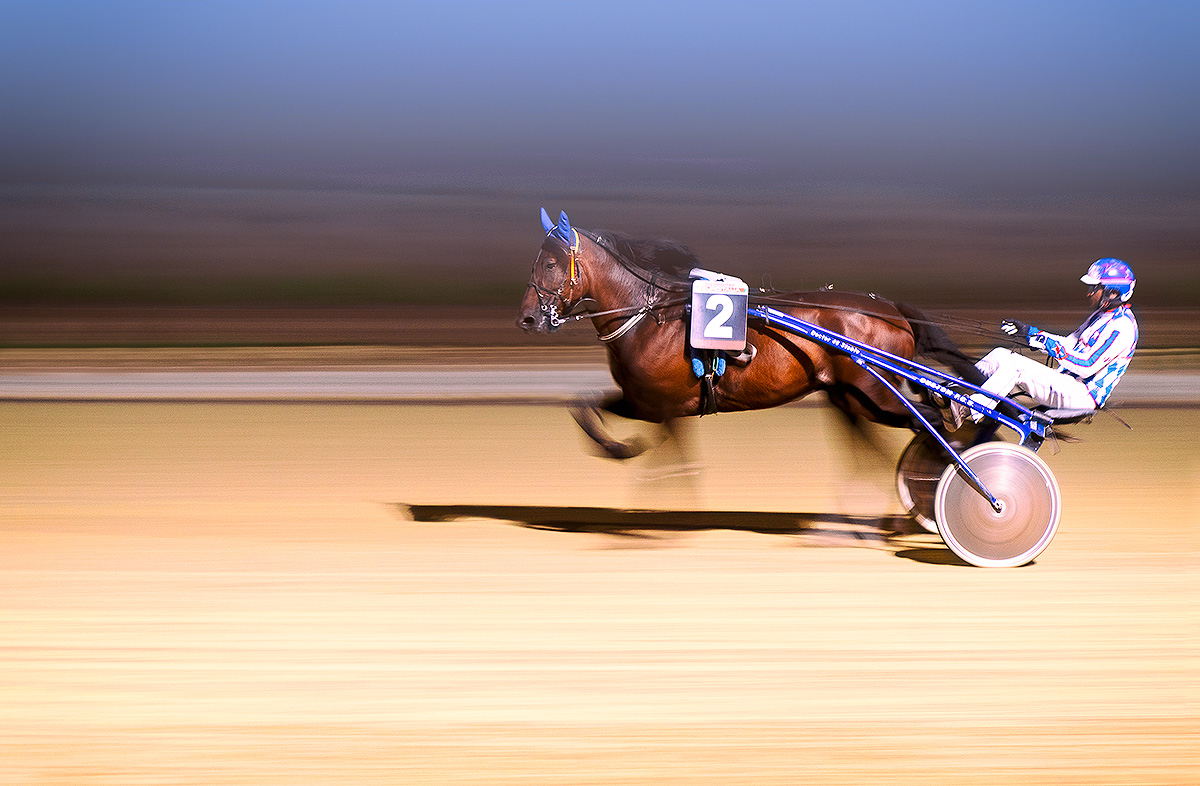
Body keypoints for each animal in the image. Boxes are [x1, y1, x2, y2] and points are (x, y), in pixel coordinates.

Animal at [517, 209, 983, 459]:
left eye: (551, 263)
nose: (527, 319)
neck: (647, 316)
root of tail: (891, 309)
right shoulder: (641, 401)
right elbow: (582, 408)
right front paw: (619, 448)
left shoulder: (664, 408)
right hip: (851, 399)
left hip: (878, 396)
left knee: (931, 423)